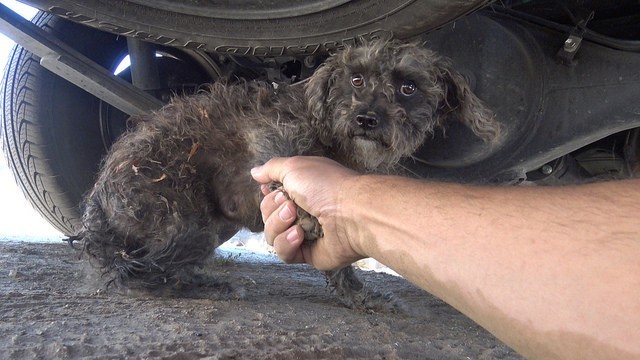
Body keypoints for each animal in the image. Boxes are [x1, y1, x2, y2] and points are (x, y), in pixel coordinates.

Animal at [80, 38, 500, 310]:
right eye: (357, 79)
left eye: (408, 87)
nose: (366, 118)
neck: (331, 133)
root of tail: (97, 207)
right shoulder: (267, 136)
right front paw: (306, 219)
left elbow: (339, 264)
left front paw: (359, 297)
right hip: (186, 221)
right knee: (135, 275)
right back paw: (213, 286)